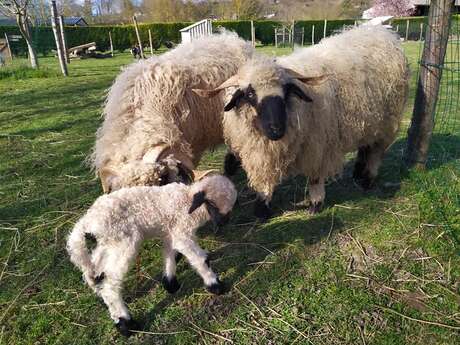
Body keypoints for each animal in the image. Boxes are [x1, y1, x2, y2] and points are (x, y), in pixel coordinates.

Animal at [66, 173, 237, 334]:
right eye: (212, 205)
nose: (223, 223)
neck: (187, 199)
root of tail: (86, 223)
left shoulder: (170, 232)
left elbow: (170, 256)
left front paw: (170, 284)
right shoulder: (181, 232)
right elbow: (200, 259)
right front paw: (215, 285)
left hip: (109, 243)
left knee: (94, 269)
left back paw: (101, 295)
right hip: (123, 241)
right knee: (110, 285)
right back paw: (126, 324)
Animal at [194, 25, 410, 218]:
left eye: (286, 91)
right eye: (249, 94)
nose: (276, 130)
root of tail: (383, 33)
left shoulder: (318, 146)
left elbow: (314, 177)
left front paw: (315, 203)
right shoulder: (261, 151)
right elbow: (265, 179)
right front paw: (262, 207)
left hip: (387, 122)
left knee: (375, 151)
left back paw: (367, 179)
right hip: (370, 121)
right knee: (365, 146)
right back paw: (358, 173)